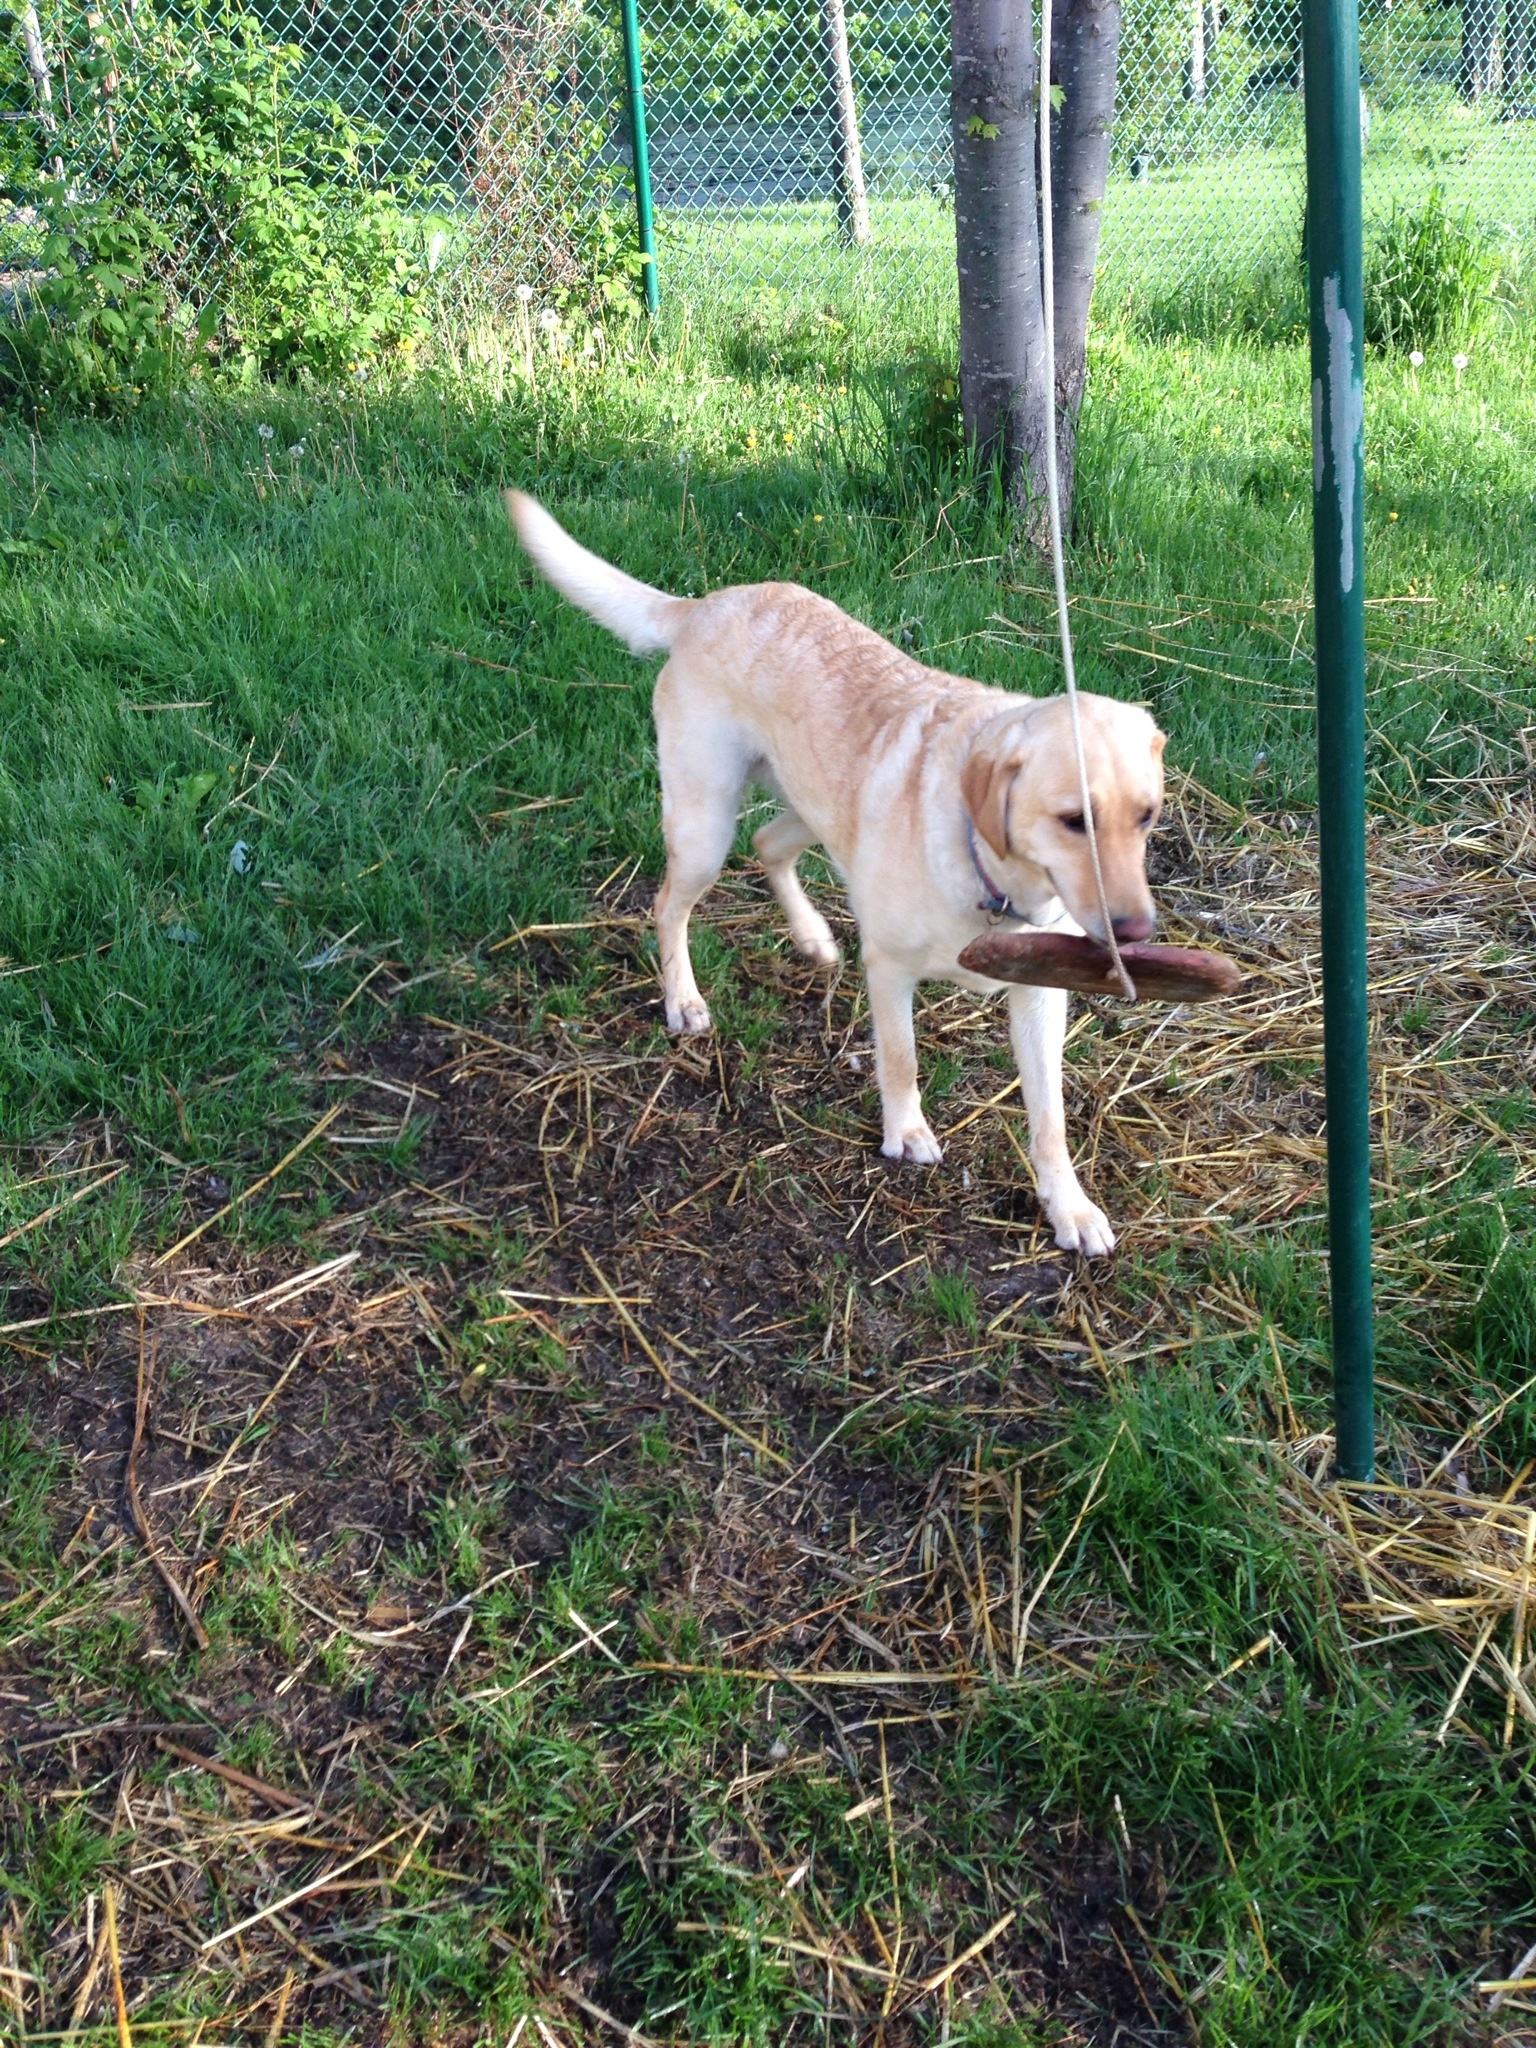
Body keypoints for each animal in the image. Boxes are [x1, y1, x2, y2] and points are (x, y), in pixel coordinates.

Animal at [507, 497, 1163, 1261]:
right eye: (1072, 820)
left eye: (1147, 816)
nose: (1135, 933)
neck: (992, 874)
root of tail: (707, 605)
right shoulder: (891, 970)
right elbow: (900, 1059)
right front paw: (906, 1133)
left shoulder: (1039, 999)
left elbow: (1049, 1117)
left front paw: (1070, 1207)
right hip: (705, 829)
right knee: (670, 905)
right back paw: (685, 1001)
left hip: (813, 809)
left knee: (768, 844)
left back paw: (813, 937)